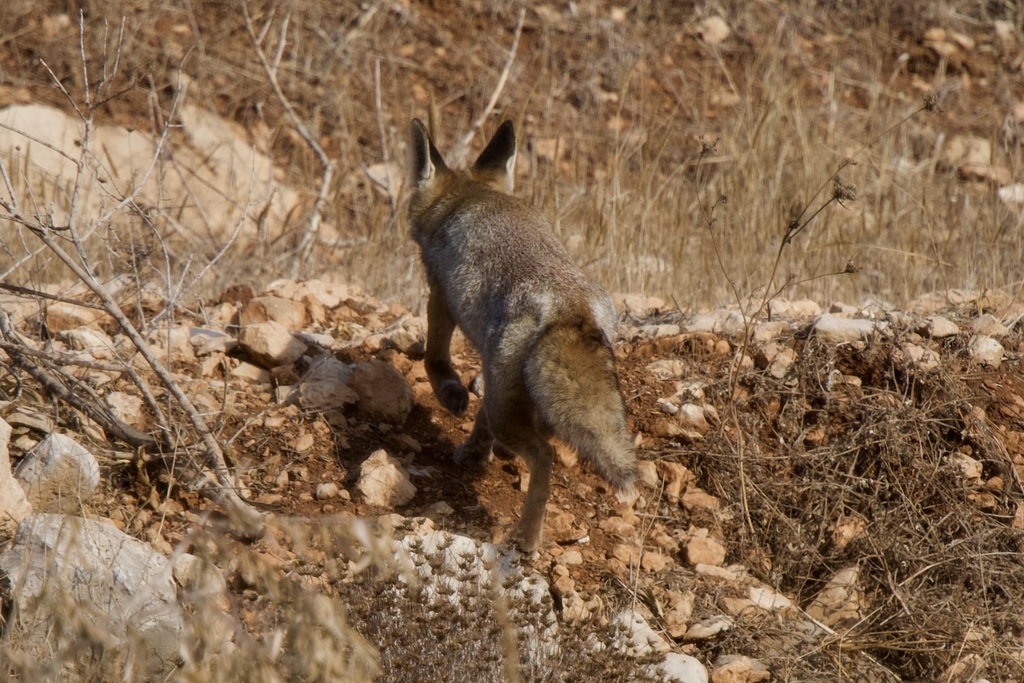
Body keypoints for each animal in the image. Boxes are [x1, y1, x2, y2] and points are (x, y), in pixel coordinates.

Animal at [407, 117, 638, 552]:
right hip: (517, 391)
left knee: (544, 456)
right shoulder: (493, 374)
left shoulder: (439, 293)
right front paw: (475, 454)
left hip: (506, 405)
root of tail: (571, 306)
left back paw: (527, 538)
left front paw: (451, 396)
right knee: (541, 433)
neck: (468, 198)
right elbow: (479, 422)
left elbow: (435, 359)